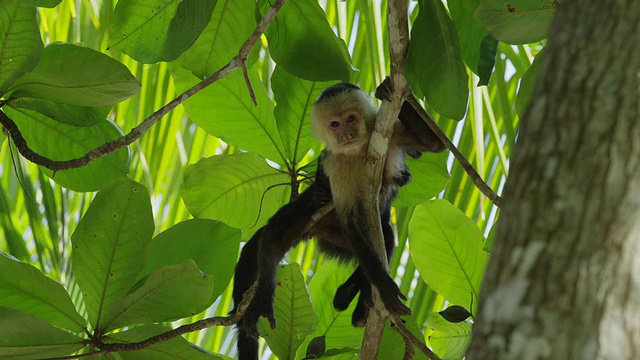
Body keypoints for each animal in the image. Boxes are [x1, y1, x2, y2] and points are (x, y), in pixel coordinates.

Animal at [230, 80, 444, 358]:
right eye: (334, 124)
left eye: (350, 118)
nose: (345, 134)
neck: (358, 150)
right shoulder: (335, 164)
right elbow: (350, 219)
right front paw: (384, 286)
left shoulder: (390, 134)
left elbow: (433, 143)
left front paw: (391, 90)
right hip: (312, 218)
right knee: (274, 236)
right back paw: (265, 292)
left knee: (386, 239)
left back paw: (359, 303)